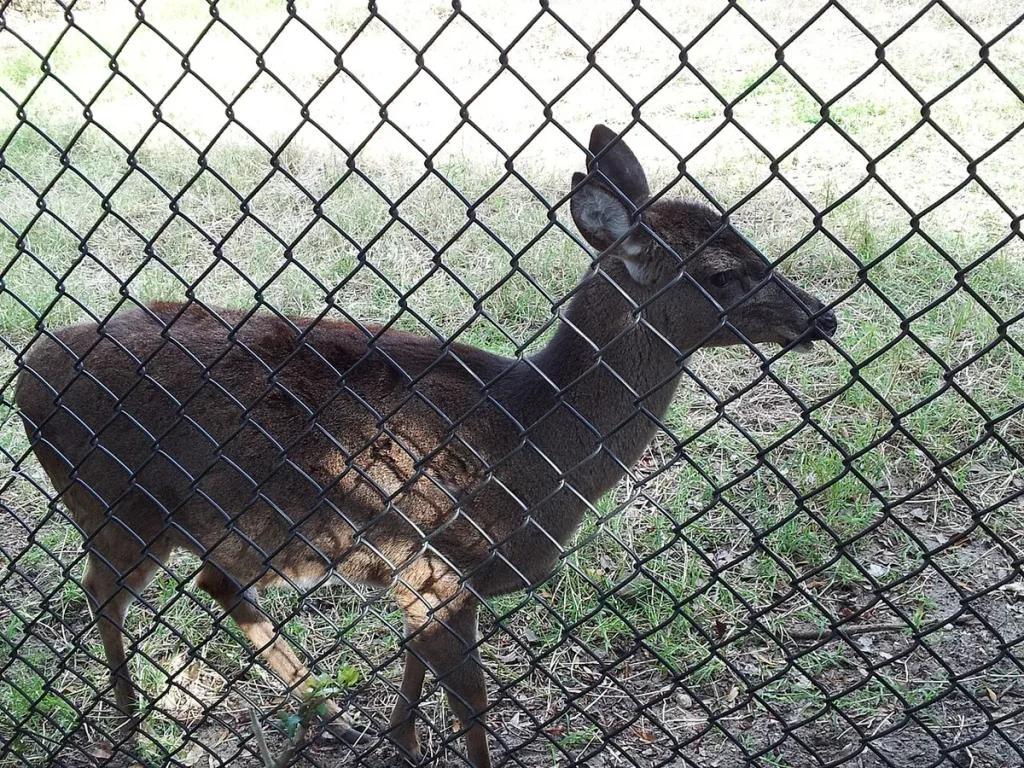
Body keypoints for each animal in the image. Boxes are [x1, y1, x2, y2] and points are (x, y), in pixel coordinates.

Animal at [15, 124, 837, 767]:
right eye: (722, 273)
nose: (822, 317)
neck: (536, 441)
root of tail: (27, 371)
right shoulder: (441, 567)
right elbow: (472, 705)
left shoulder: (418, 580)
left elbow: (415, 668)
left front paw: (400, 741)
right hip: (117, 506)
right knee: (103, 593)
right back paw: (132, 730)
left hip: (228, 525)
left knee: (214, 584)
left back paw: (330, 717)